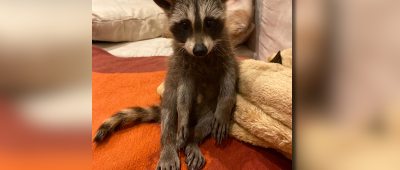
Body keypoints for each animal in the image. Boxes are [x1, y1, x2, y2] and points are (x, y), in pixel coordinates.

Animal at [93, 0, 238, 169]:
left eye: (209, 22)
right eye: (184, 25)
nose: (199, 50)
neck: (202, 57)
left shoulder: (227, 52)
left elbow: (229, 79)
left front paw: (224, 107)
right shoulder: (183, 65)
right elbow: (183, 92)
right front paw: (182, 112)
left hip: (209, 109)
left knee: (206, 122)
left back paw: (193, 141)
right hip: (169, 97)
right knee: (169, 114)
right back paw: (168, 144)